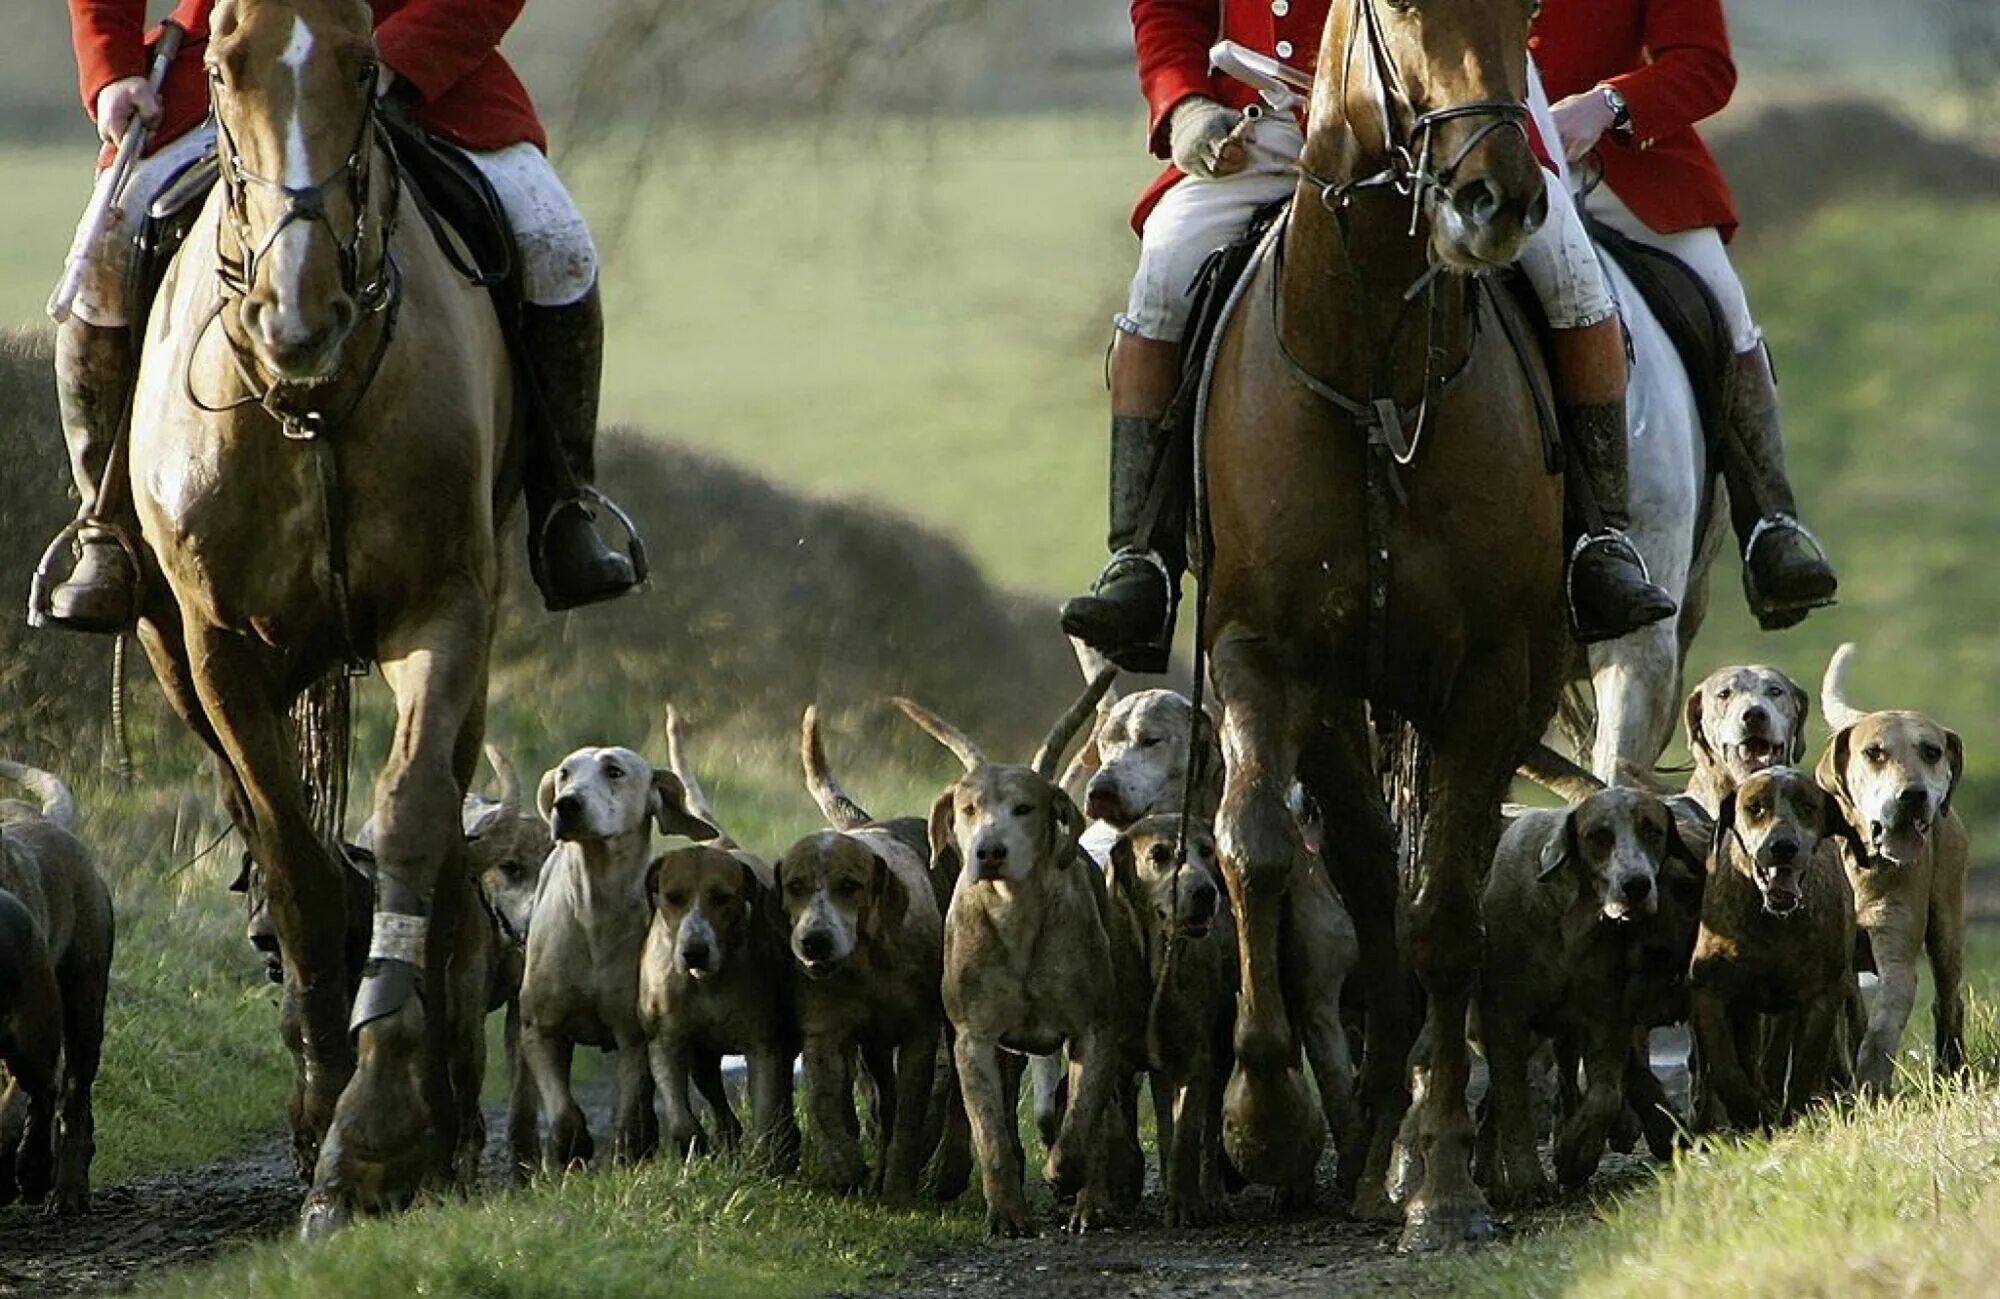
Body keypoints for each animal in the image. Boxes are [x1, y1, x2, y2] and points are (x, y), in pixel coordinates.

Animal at [124, 0, 508, 1231]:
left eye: (367, 68)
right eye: (217, 68)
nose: (300, 316)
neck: (312, 403)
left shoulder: (445, 612)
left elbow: (413, 812)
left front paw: (381, 1130)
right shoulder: (218, 652)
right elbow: (291, 853)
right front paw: (327, 1101)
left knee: (442, 813)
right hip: (168, 654)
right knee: (261, 822)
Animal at [1200, 0, 1560, 1247]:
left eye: (1527, 16)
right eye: (1400, 10)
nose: (1494, 198)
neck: (1372, 377)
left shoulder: (1494, 674)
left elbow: (1445, 913)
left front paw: (1443, 1179)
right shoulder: (1258, 654)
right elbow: (1255, 846)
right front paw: (1263, 1116)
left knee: (1425, 886)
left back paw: (1407, 1157)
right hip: (1335, 708)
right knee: (1357, 872)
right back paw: (1358, 1151)